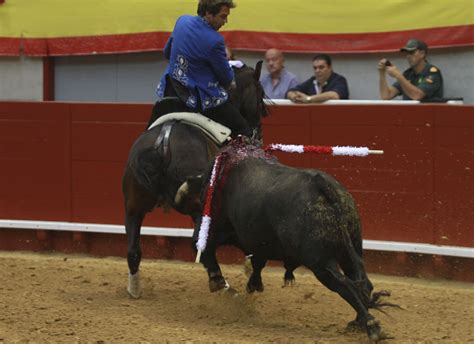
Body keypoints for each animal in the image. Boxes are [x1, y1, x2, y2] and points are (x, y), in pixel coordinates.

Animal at [122, 62, 268, 298]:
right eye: (260, 94)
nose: (258, 134)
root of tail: (162, 142)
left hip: (133, 206)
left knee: (133, 249)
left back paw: (134, 289)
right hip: (199, 207)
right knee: (201, 243)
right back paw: (221, 282)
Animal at [178, 144, 392, 342]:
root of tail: (322, 184)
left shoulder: (214, 229)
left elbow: (204, 248)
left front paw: (220, 283)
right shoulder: (260, 241)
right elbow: (257, 262)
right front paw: (252, 285)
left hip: (320, 262)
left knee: (345, 285)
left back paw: (371, 326)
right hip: (351, 248)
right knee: (361, 283)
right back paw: (357, 323)